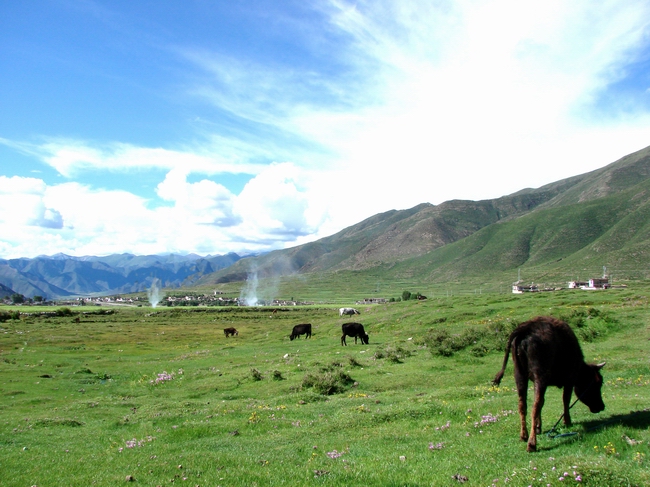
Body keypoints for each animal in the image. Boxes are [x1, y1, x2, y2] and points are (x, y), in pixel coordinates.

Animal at [494, 318, 604, 452]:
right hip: (540, 375)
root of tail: (525, 329)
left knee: (523, 405)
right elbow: (565, 400)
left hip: (519, 375)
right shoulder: (569, 380)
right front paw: (567, 422)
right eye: (597, 384)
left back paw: (524, 436)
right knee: (535, 406)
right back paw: (531, 444)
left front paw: (538, 427)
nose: (601, 406)